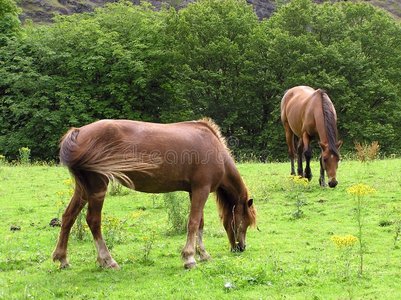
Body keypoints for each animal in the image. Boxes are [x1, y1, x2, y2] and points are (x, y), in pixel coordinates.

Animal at [52, 118, 256, 270]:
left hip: (83, 189)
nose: (241, 247)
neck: (213, 147)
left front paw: (203, 254)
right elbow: (193, 223)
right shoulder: (201, 190)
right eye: (245, 222)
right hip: (97, 188)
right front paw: (189, 258)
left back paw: (62, 259)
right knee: (93, 221)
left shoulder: (195, 191)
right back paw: (108, 261)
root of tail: (79, 132)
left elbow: (199, 224)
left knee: (68, 217)